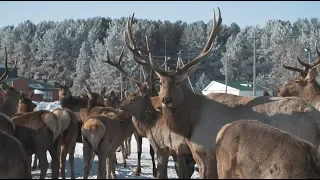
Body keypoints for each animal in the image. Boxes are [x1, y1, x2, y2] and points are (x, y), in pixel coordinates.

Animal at [124, 8, 320, 179]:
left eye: (178, 82)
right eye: (162, 83)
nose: (165, 99)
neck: (191, 123)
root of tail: (315, 116)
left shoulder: (211, 152)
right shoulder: (197, 155)